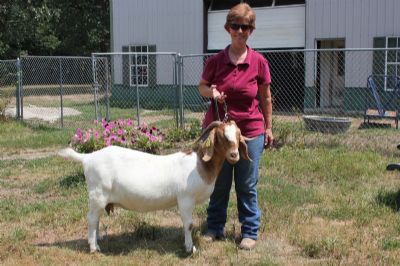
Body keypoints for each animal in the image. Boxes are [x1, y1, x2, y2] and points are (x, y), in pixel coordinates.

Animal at [57, 120, 248, 254]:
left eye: (238, 135)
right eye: (222, 136)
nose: (234, 155)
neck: (199, 164)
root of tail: (87, 158)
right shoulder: (185, 199)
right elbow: (188, 225)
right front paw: (190, 249)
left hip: (99, 199)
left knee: (95, 220)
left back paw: (97, 243)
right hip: (97, 195)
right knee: (91, 219)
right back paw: (93, 248)